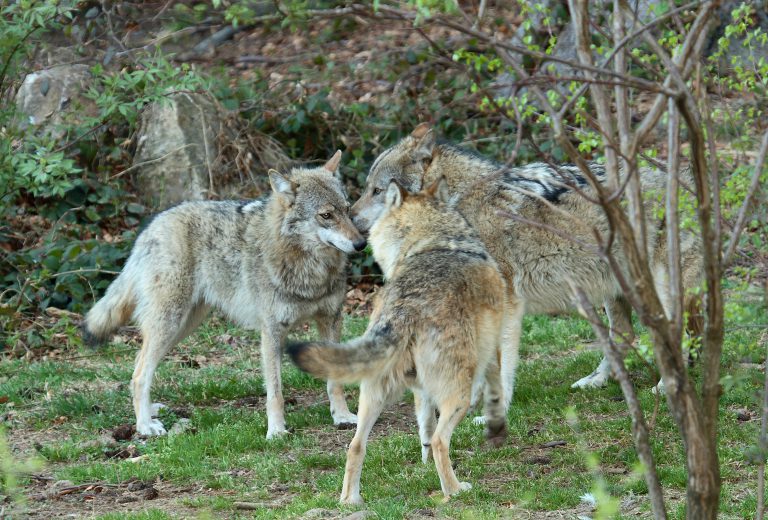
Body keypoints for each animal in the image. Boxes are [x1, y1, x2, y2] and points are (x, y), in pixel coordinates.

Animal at [82, 151, 366, 439]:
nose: (361, 244)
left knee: (138, 365)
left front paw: (342, 416)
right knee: (140, 374)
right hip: (169, 323)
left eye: (347, 209)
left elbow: (335, 382)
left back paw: (151, 411)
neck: (309, 269)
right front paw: (276, 431)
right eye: (326, 215)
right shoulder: (272, 331)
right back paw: (144, 426)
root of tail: (151, 227)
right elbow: (275, 393)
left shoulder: (331, 319)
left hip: (181, 327)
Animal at [288, 178, 508, 505]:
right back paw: (455, 491)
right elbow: (495, 388)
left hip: (372, 397)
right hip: (458, 395)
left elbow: (424, 430)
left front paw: (423, 465)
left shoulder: (421, 390)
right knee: (441, 441)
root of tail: (405, 310)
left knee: (355, 446)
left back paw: (350, 501)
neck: (435, 240)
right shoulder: (494, 349)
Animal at [351, 124, 702, 408]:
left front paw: (495, 406)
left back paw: (665, 387)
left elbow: (502, 362)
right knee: (626, 335)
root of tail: (689, 182)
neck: (458, 208)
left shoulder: (507, 302)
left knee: (676, 336)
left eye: (377, 191)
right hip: (612, 291)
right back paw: (597, 380)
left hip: (660, 290)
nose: (350, 219)